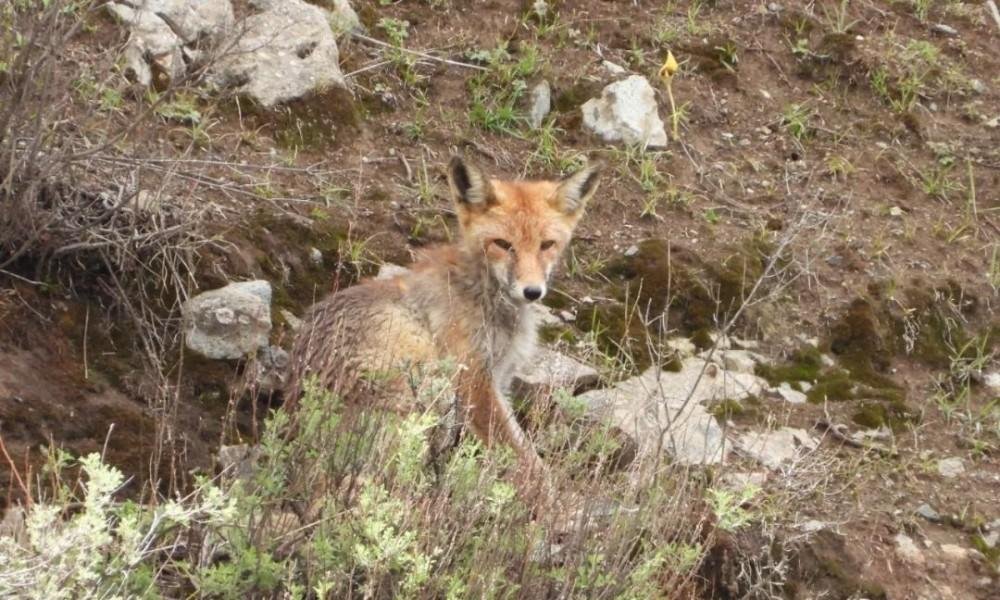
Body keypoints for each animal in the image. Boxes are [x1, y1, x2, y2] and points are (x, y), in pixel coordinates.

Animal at [285, 155, 603, 503]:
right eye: (503, 244)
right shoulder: (474, 380)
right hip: (430, 388)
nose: (532, 292)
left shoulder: (499, 376)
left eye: (547, 245)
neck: (481, 292)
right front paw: (553, 501)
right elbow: (524, 457)